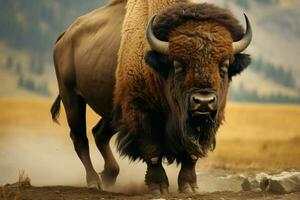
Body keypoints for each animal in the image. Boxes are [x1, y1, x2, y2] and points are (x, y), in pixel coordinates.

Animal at [51, 0, 251, 195]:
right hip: (72, 98)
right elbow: (153, 151)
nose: (203, 102)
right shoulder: (141, 113)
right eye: (178, 65)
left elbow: (191, 154)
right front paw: (158, 187)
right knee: (80, 138)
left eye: (224, 65)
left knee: (99, 134)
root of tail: (65, 37)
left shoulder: (208, 120)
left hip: (113, 111)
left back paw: (109, 176)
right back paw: (94, 182)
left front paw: (189, 187)